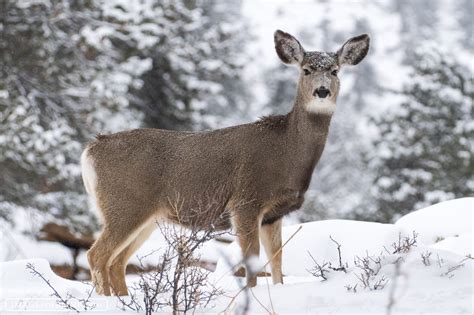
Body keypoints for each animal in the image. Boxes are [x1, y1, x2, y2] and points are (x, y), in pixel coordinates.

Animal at [81, 30, 370, 296]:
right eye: (306, 69)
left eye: (334, 71)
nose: (322, 91)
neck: (286, 154)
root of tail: (91, 149)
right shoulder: (245, 202)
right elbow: (252, 261)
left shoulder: (274, 214)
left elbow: (277, 262)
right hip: (125, 204)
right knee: (97, 255)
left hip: (146, 216)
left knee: (117, 261)